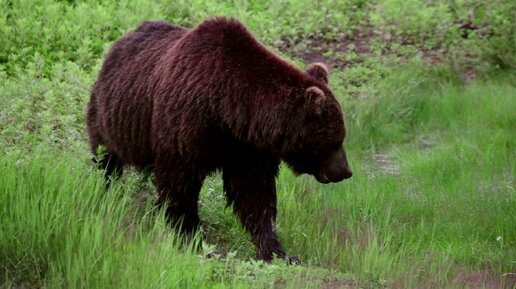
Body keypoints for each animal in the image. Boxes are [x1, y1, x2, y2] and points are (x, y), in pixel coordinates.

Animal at [87, 18, 350, 264]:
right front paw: (190, 238)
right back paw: (109, 189)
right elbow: (179, 185)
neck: (229, 110)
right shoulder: (187, 124)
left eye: (340, 137)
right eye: (334, 141)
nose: (345, 172)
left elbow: (255, 193)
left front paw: (278, 252)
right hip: (114, 114)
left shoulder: (247, 147)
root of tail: (122, 39)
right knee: (107, 158)